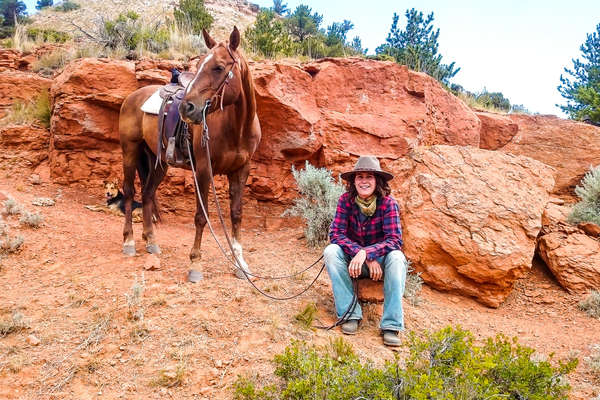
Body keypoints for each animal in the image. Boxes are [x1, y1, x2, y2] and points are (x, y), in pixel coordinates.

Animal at [120, 26, 262, 280]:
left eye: (219, 67)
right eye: (198, 66)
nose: (187, 107)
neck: (236, 128)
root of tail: (133, 97)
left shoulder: (241, 171)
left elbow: (236, 214)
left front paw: (240, 264)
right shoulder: (203, 170)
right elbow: (200, 217)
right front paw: (195, 263)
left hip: (158, 162)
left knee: (147, 194)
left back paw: (151, 240)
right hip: (130, 150)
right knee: (129, 192)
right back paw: (129, 241)